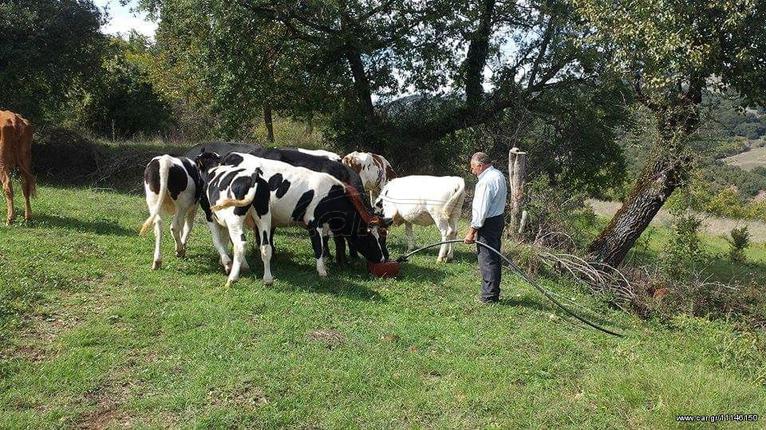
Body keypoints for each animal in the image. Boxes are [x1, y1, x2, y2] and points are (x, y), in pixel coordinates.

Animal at [195, 149, 392, 288]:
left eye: (384, 236)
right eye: (371, 237)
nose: (384, 258)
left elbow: (336, 241)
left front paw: (341, 260)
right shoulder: (314, 222)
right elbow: (323, 245)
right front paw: (330, 266)